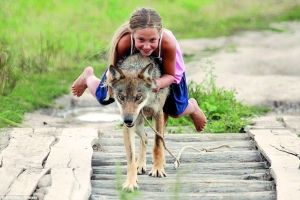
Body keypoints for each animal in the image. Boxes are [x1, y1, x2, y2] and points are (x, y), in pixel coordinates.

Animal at [107, 53, 169, 192]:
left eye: (138, 97)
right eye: (122, 97)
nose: (128, 120)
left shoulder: (158, 113)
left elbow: (157, 143)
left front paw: (157, 169)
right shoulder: (128, 126)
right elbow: (131, 157)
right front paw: (130, 183)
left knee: (160, 139)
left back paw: (161, 163)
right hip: (138, 124)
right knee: (145, 138)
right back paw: (140, 165)